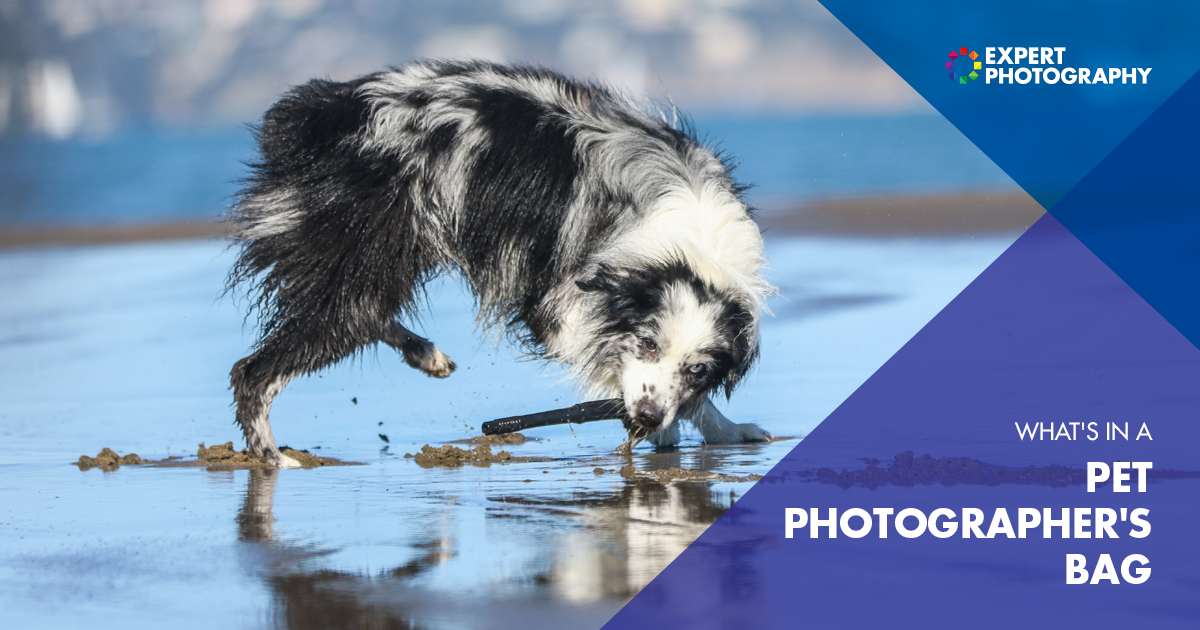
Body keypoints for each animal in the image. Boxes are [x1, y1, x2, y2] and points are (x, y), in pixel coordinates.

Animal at [229, 61, 772, 463]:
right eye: (648, 344)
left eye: (698, 368)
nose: (646, 415)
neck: (693, 242)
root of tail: (320, 110)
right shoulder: (557, 299)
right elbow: (602, 355)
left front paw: (720, 429)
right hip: (361, 253)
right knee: (258, 368)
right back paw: (271, 457)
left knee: (364, 315)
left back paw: (426, 354)